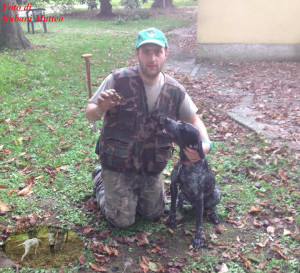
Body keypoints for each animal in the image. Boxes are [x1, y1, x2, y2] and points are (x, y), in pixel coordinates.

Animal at [161, 117, 221, 246]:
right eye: (179, 121)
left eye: (183, 127)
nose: (166, 119)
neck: (187, 163)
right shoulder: (174, 186)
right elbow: (173, 208)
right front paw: (171, 219)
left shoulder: (199, 197)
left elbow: (199, 222)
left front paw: (198, 238)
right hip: (181, 193)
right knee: (179, 201)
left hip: (217, 193)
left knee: (212, 207)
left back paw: (214, 215)